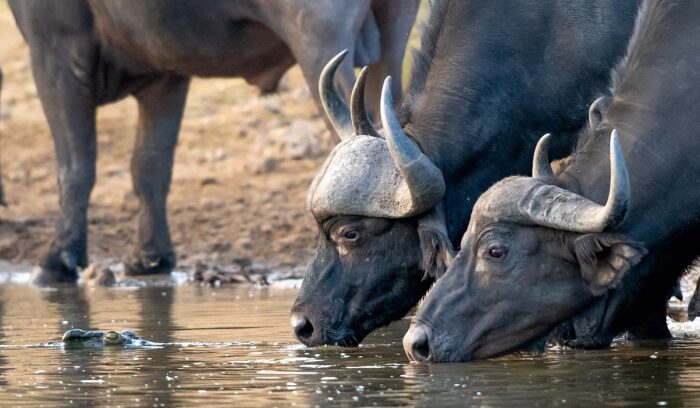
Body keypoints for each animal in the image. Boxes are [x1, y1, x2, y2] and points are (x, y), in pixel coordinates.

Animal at [7, 0, 418, 284]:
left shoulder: (55, 54)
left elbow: (75, 164)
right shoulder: (166, 76)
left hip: (318, 39)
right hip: (390, 38)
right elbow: (150, 165)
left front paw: (57, 259)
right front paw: (151, 257)